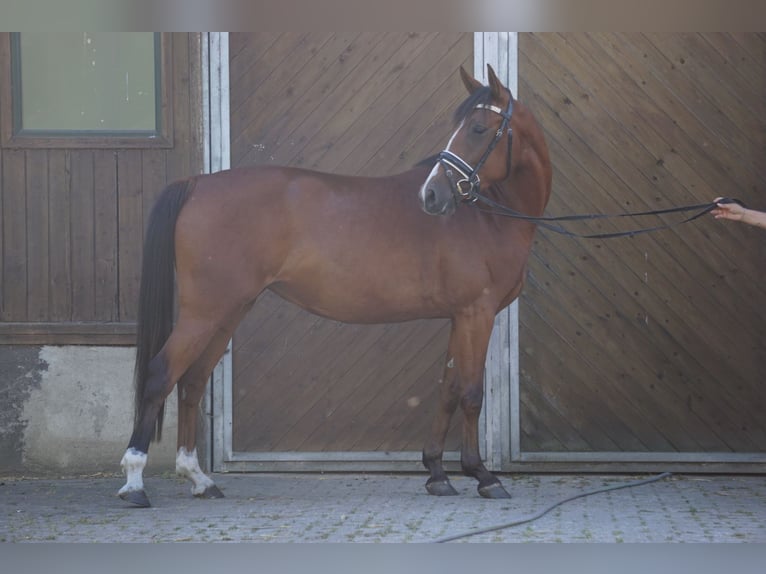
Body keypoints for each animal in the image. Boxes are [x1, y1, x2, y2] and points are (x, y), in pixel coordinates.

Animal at [118, 64, 552, 508]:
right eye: (464, 127)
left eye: (479, 128)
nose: (431, 195)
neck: (487, 217)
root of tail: (197, 183)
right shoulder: (476, 314)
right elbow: (471, 392)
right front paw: (483, 476)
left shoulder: (459, 317)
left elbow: (448, 389)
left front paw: (436, 472)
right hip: (205, 312)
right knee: (160, 375)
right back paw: (134, 483)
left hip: (229, 311)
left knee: (191, 381)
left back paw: (199, 478)